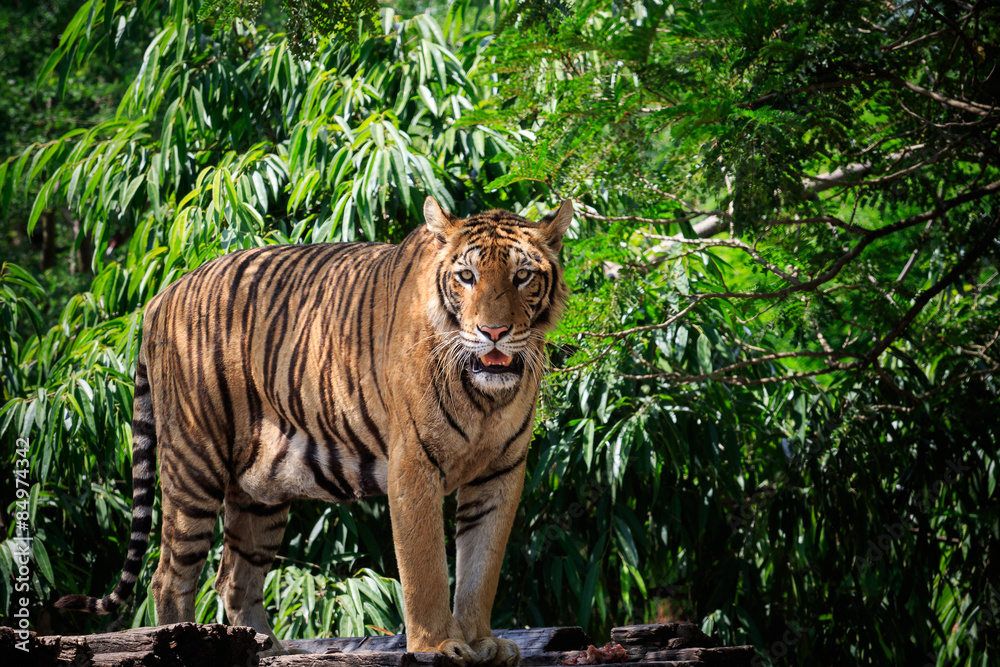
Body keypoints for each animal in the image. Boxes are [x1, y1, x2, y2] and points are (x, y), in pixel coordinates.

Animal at [55, 196, 573, 665]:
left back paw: (265, 648)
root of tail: (162, 294)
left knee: (234, 578)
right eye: (466, 277)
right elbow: (424, 568)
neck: (486, 397)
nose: (494, 333)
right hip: (193, 463)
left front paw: (482, 642)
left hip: (261, 491)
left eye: (522, 276)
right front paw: (438, 646)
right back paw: (178, 645)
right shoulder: (414, 465)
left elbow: (481, 569)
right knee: (169, 577)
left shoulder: (500, 474)